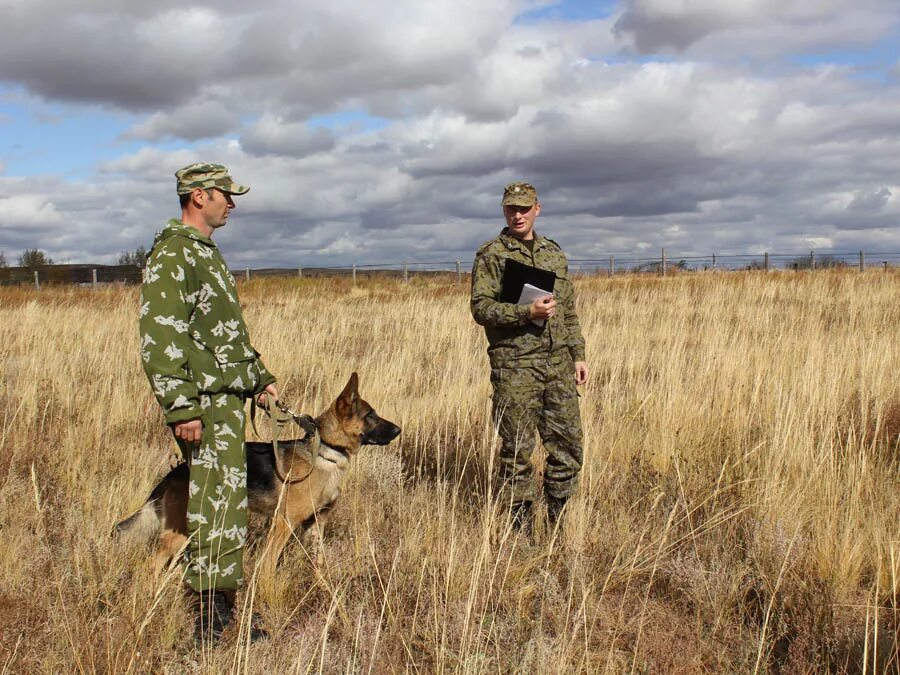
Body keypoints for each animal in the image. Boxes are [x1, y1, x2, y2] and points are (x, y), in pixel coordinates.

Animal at [113, 372, 400, 580]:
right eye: (370, 415)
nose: (399, 430)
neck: (326, 450)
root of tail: (175, 472)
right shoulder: (283, 525)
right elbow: (269, 565)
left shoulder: (316, 526)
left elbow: (319, 564)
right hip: (181, 531)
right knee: (150, 566)